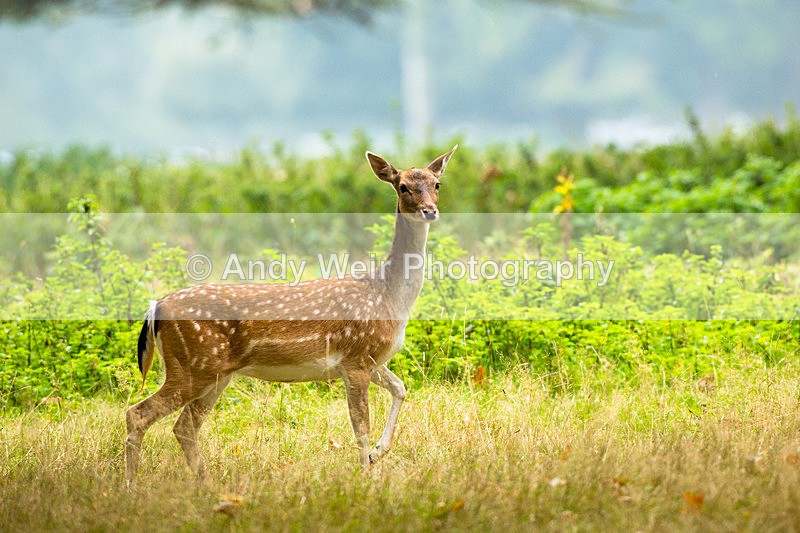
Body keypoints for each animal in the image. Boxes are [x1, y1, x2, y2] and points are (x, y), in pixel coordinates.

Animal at [125, 146, 457, 484]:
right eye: (402, 186)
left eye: (437, 184)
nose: (430, 210)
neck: (388, 295)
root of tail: (155, 307)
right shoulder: (356, 358)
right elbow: (360, 426)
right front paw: (366, 473)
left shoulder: (371, 360)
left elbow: (401, 388)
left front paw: (377, 454)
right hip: (192, 365)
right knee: (138, 414)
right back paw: (131, 483)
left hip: (214, 372)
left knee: (184, 427)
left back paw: (204, 482)